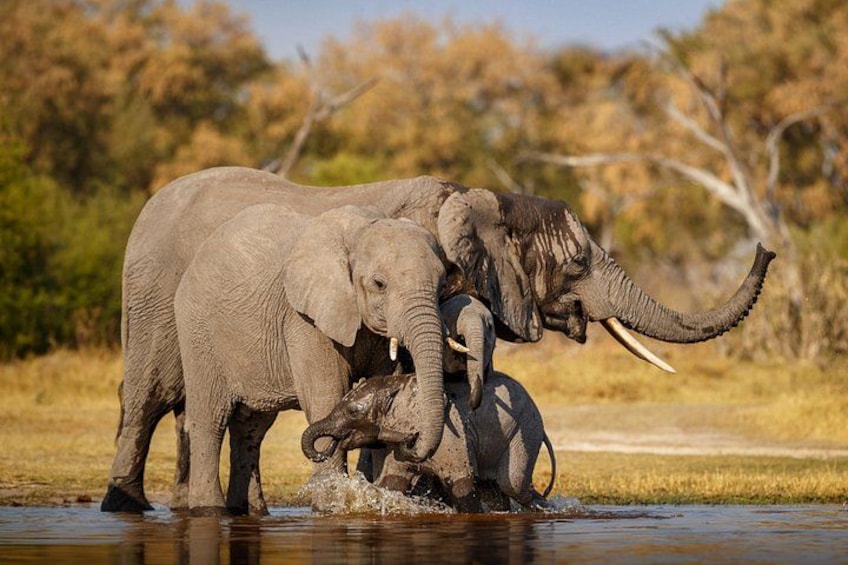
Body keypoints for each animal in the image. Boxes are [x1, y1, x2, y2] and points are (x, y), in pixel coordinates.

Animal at [172, 203, 450, 514]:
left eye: (442, 285)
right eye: (379, 284)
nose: (412, 441)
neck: (359, 232)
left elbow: (382, 388)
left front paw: (381, 499)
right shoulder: (304, 320)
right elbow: (326, 396)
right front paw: (331, 507)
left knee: (251, 428)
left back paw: (251, 511)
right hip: (198, 332)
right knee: (210, 419)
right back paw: (209, 510)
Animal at [302, 371, 556, 513]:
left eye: (353, 412)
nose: (334, 443)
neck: (397, 385)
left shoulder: (451, 435)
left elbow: (462, 485)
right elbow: (392, 484)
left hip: (526, 429)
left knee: (512, 484)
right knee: (495, 489)